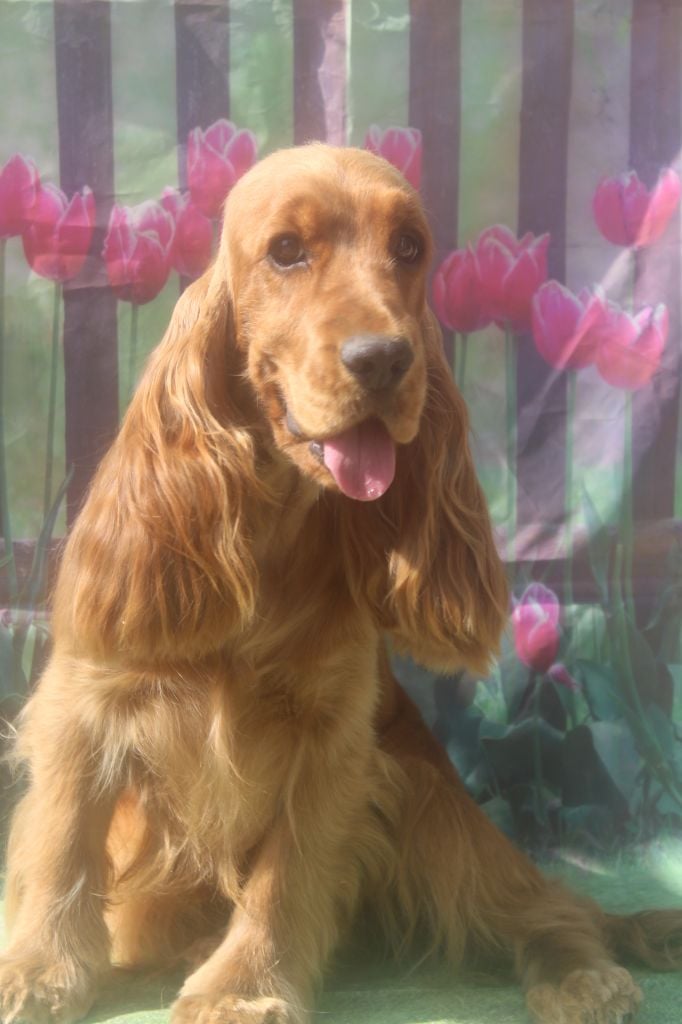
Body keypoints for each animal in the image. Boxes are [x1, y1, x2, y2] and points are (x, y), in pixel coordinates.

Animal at [1, 144, 680, 1024]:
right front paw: (38, 969)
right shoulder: (83, 706)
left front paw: (242, 987)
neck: (266, 531)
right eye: (286, 250)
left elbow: (283, 877)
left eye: (410, 248)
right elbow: (59, 847)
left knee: (550, 907)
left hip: (431, 803)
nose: (385, 359)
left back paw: (580, 976)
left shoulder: (334, 742)